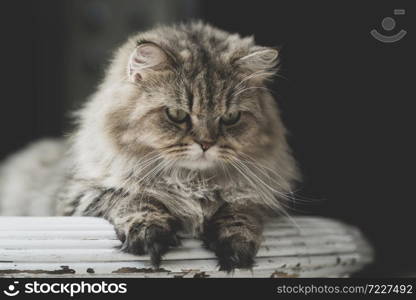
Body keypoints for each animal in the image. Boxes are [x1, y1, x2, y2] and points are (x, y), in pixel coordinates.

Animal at [0, 22, 300, 272]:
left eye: (230, 118)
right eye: (177, 115)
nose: (206, 144)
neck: (191, 182)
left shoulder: (258, 197)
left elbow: (240, 211)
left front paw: (235, 251)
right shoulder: (78, 194)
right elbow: (135, 198)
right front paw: (150, 235)